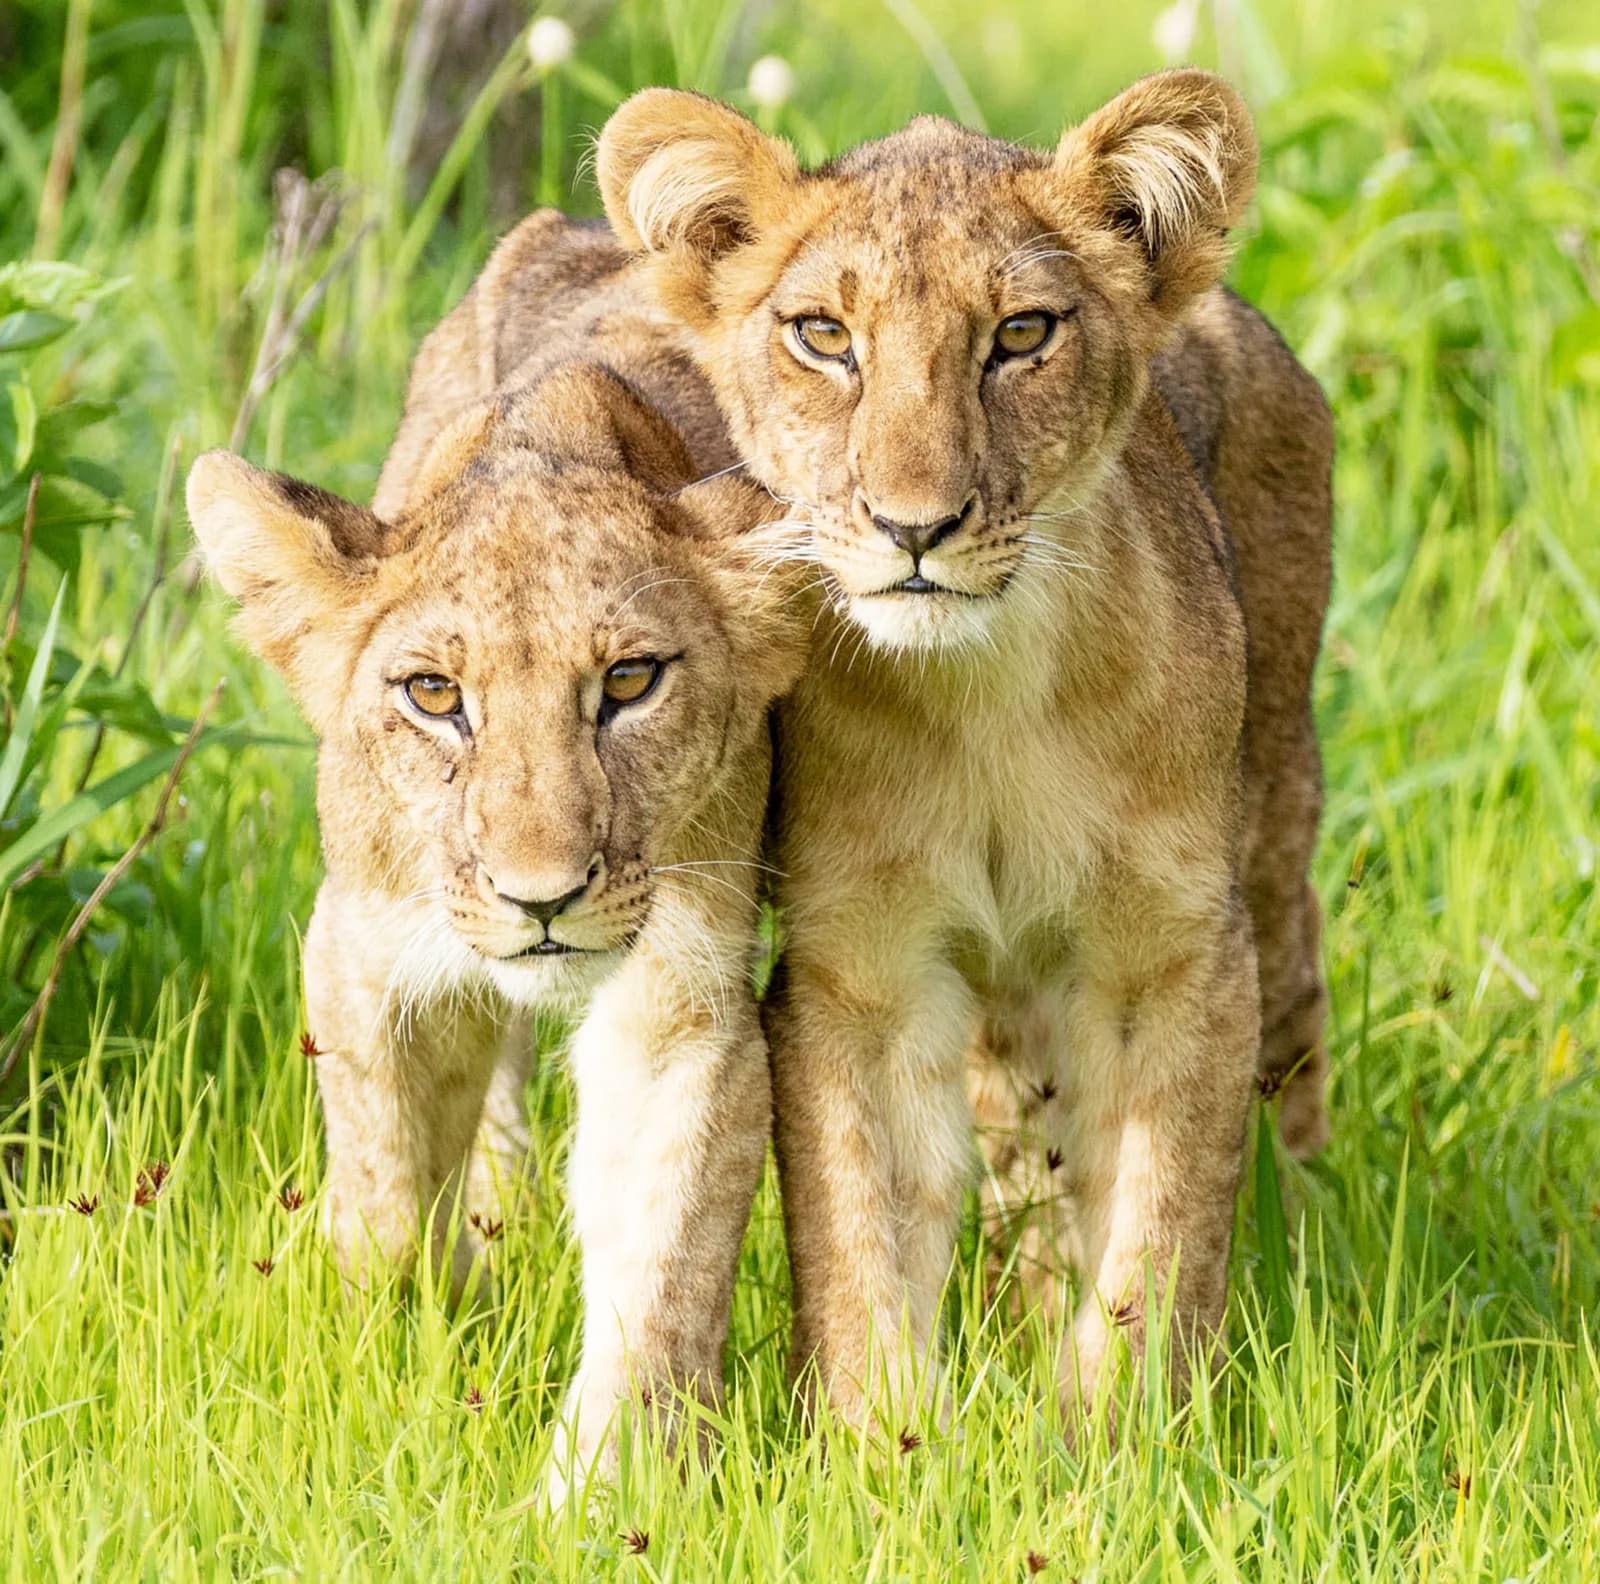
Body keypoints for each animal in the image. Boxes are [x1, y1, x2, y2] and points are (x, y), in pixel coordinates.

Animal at [185, 211, 809, 1500]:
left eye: (630, 681)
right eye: (434, 695)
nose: (543, 900)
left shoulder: (682, 996)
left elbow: (661, 1257)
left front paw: (610, 1493)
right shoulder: (363, 946)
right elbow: (383, 1192)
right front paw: (402, 1352)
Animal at [596, 72, 1334, 1424]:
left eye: (1022, 335)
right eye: (823, 336)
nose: (913, 527)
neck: (987, 697)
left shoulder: (1176, 955)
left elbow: (1157, 1226)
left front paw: (1121, 1439)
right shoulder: (863, 968)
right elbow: (862, 1232)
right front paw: (880, 1443)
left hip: (1274, 810)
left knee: (1292, 1022)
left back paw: (1308, 1239)